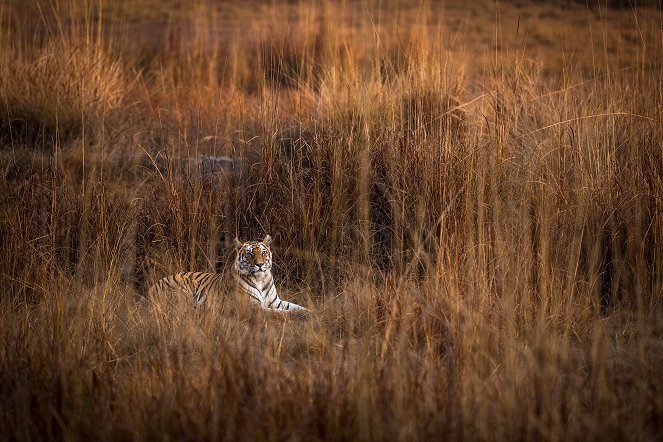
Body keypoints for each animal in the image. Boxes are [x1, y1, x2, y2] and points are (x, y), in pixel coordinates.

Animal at [148, 237, 308, 312]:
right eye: (250, 254)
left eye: (263, 252)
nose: (260, 264)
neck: (261, 279)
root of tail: (151, 288)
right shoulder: (253, 306)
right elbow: (279, 312)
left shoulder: (276, 302)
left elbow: (297, 307)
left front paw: (311, 312)